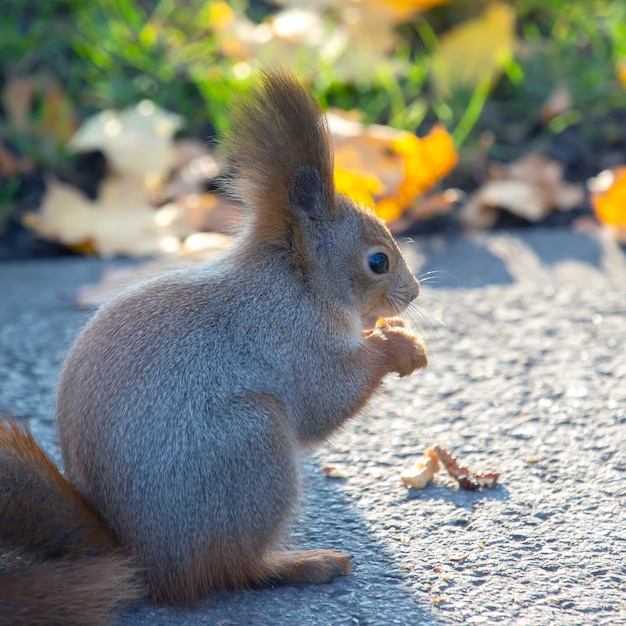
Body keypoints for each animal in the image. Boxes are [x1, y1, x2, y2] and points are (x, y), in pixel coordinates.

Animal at [0, 72, 424, 624]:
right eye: (378, 261)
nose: (413, 294)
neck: (298, 280)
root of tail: (141, 560)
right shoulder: (286, 335)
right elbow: (324, 397)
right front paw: (398, 345)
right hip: (250, 448)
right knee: (228, 571)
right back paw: (300, 563)